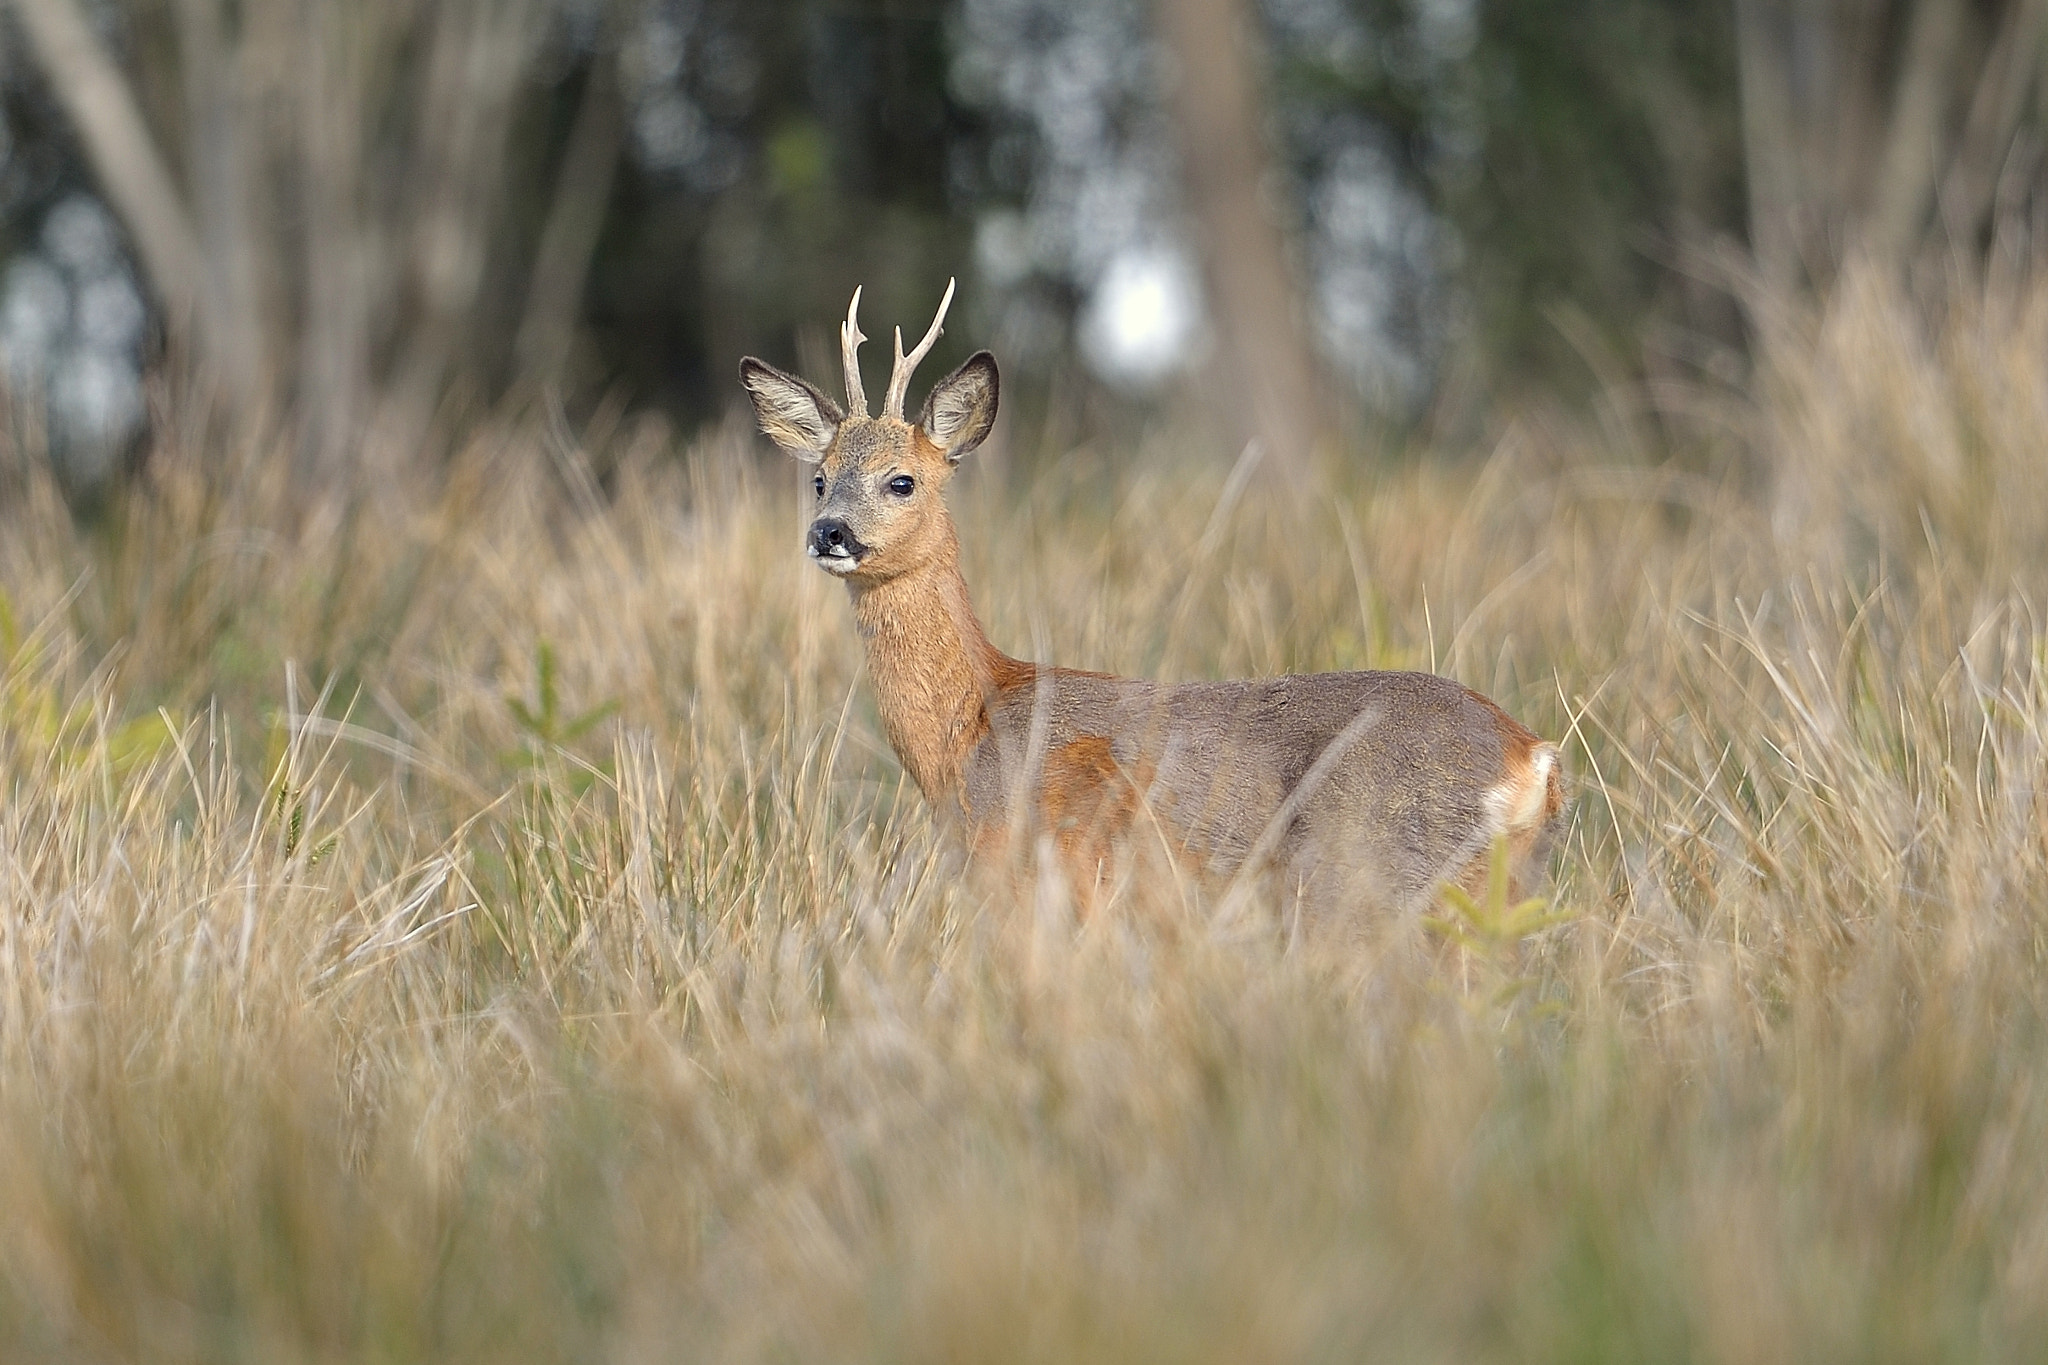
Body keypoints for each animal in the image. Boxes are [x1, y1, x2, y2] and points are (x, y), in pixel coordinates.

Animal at [745, 280, 1556, 916]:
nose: (829, 532)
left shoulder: (1061, 874)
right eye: (818, 479)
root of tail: (1532, 759)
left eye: (902, 480)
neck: (970, 727)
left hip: (1370, 873)